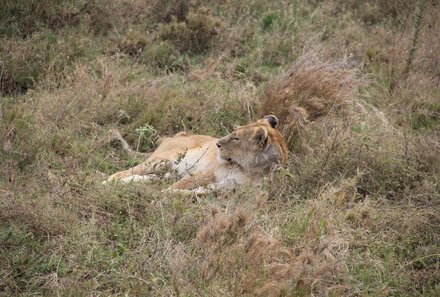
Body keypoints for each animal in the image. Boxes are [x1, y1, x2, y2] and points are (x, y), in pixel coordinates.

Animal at [103, 114, 288, 193]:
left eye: (236, 138)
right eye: (234, 132)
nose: (217, 144)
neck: (249, 170)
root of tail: (171, 136)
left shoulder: (227, 186)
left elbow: (200, 191)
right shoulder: (204, 172)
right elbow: (181, 185)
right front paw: (163, 196)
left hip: (166, 171)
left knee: (148, 178)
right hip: (160, 161)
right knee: (121, 173)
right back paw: (108, 182)